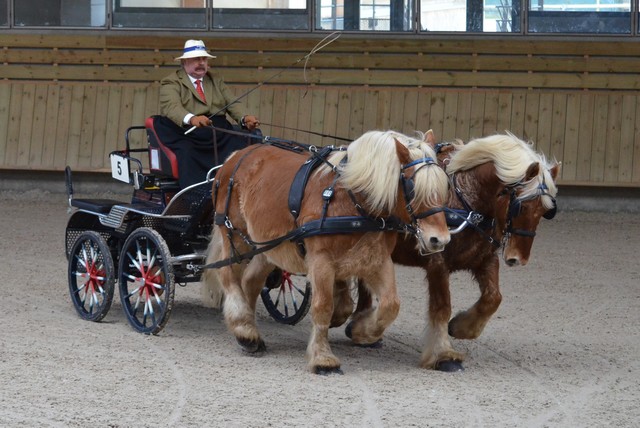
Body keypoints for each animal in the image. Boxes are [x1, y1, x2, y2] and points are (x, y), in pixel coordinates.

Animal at [204, 130, 450, 374]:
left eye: (444, 187)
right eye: (413, 187)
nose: (440, 239)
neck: (353, 202)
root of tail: (235, 157)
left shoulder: (378, 261)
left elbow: (391, 304)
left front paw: (363, 331)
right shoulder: (321, 261)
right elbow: (323, 306)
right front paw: (323, 358)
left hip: (269, 246)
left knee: (251, 281)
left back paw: (248, 332)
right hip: (235, 235)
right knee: (228, 276)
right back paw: (243, 327)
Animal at [338, 133, 556, 372]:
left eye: (546, 211)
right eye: (521, 206)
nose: (519, 258)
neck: (468, 203)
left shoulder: (485, 259)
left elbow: (493, 298)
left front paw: (463, 328)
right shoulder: (438, 263)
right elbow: (442, 308)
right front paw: (443, 355)